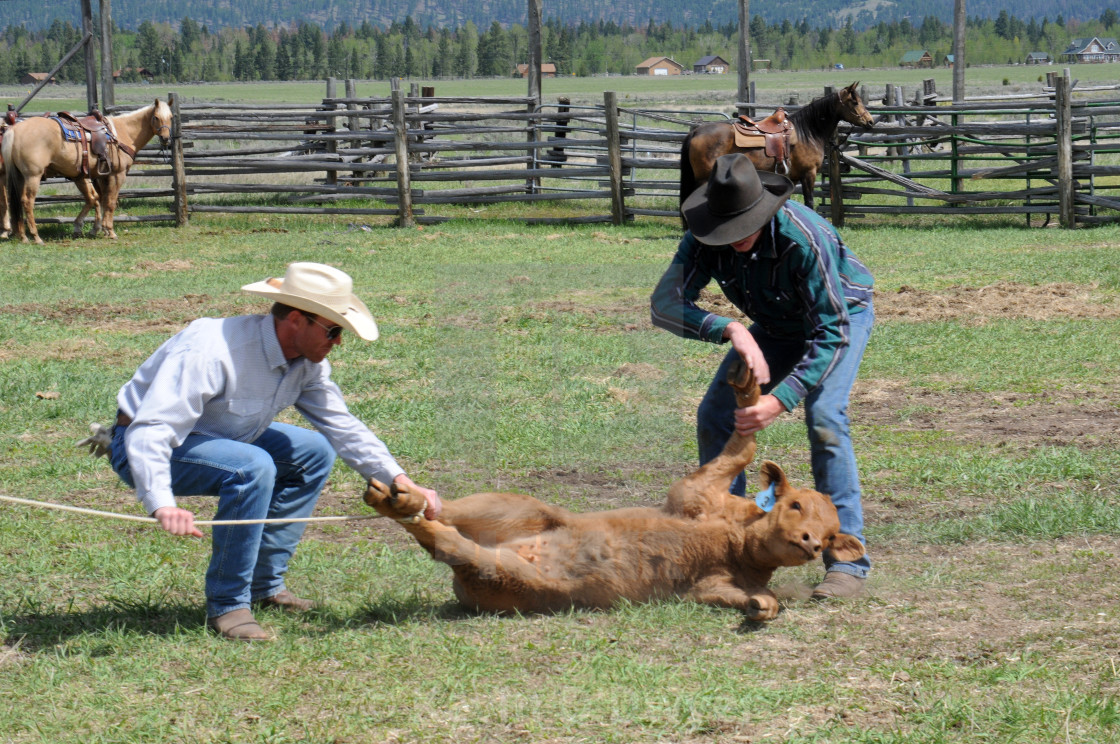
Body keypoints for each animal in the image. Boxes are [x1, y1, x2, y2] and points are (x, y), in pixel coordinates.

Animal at [3, 98, 171, 244]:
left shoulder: (93, 176)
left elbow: (97, 199)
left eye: (170, 117)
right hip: (33, 176)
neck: (123, 132)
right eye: (156, 117)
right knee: (27, 201)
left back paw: (23, 236)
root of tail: (15, 130)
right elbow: (110, 202)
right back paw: (36, 237)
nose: (165, 138)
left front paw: (92, 228)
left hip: (19, 176)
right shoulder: (117, 175)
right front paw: (110, 231)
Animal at [680, 85, 873, 218]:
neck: (807, 132)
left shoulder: (792, 178)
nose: (870, 121)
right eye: (855, 102)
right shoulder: (808, 174)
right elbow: (809, 202)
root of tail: (696, 132)